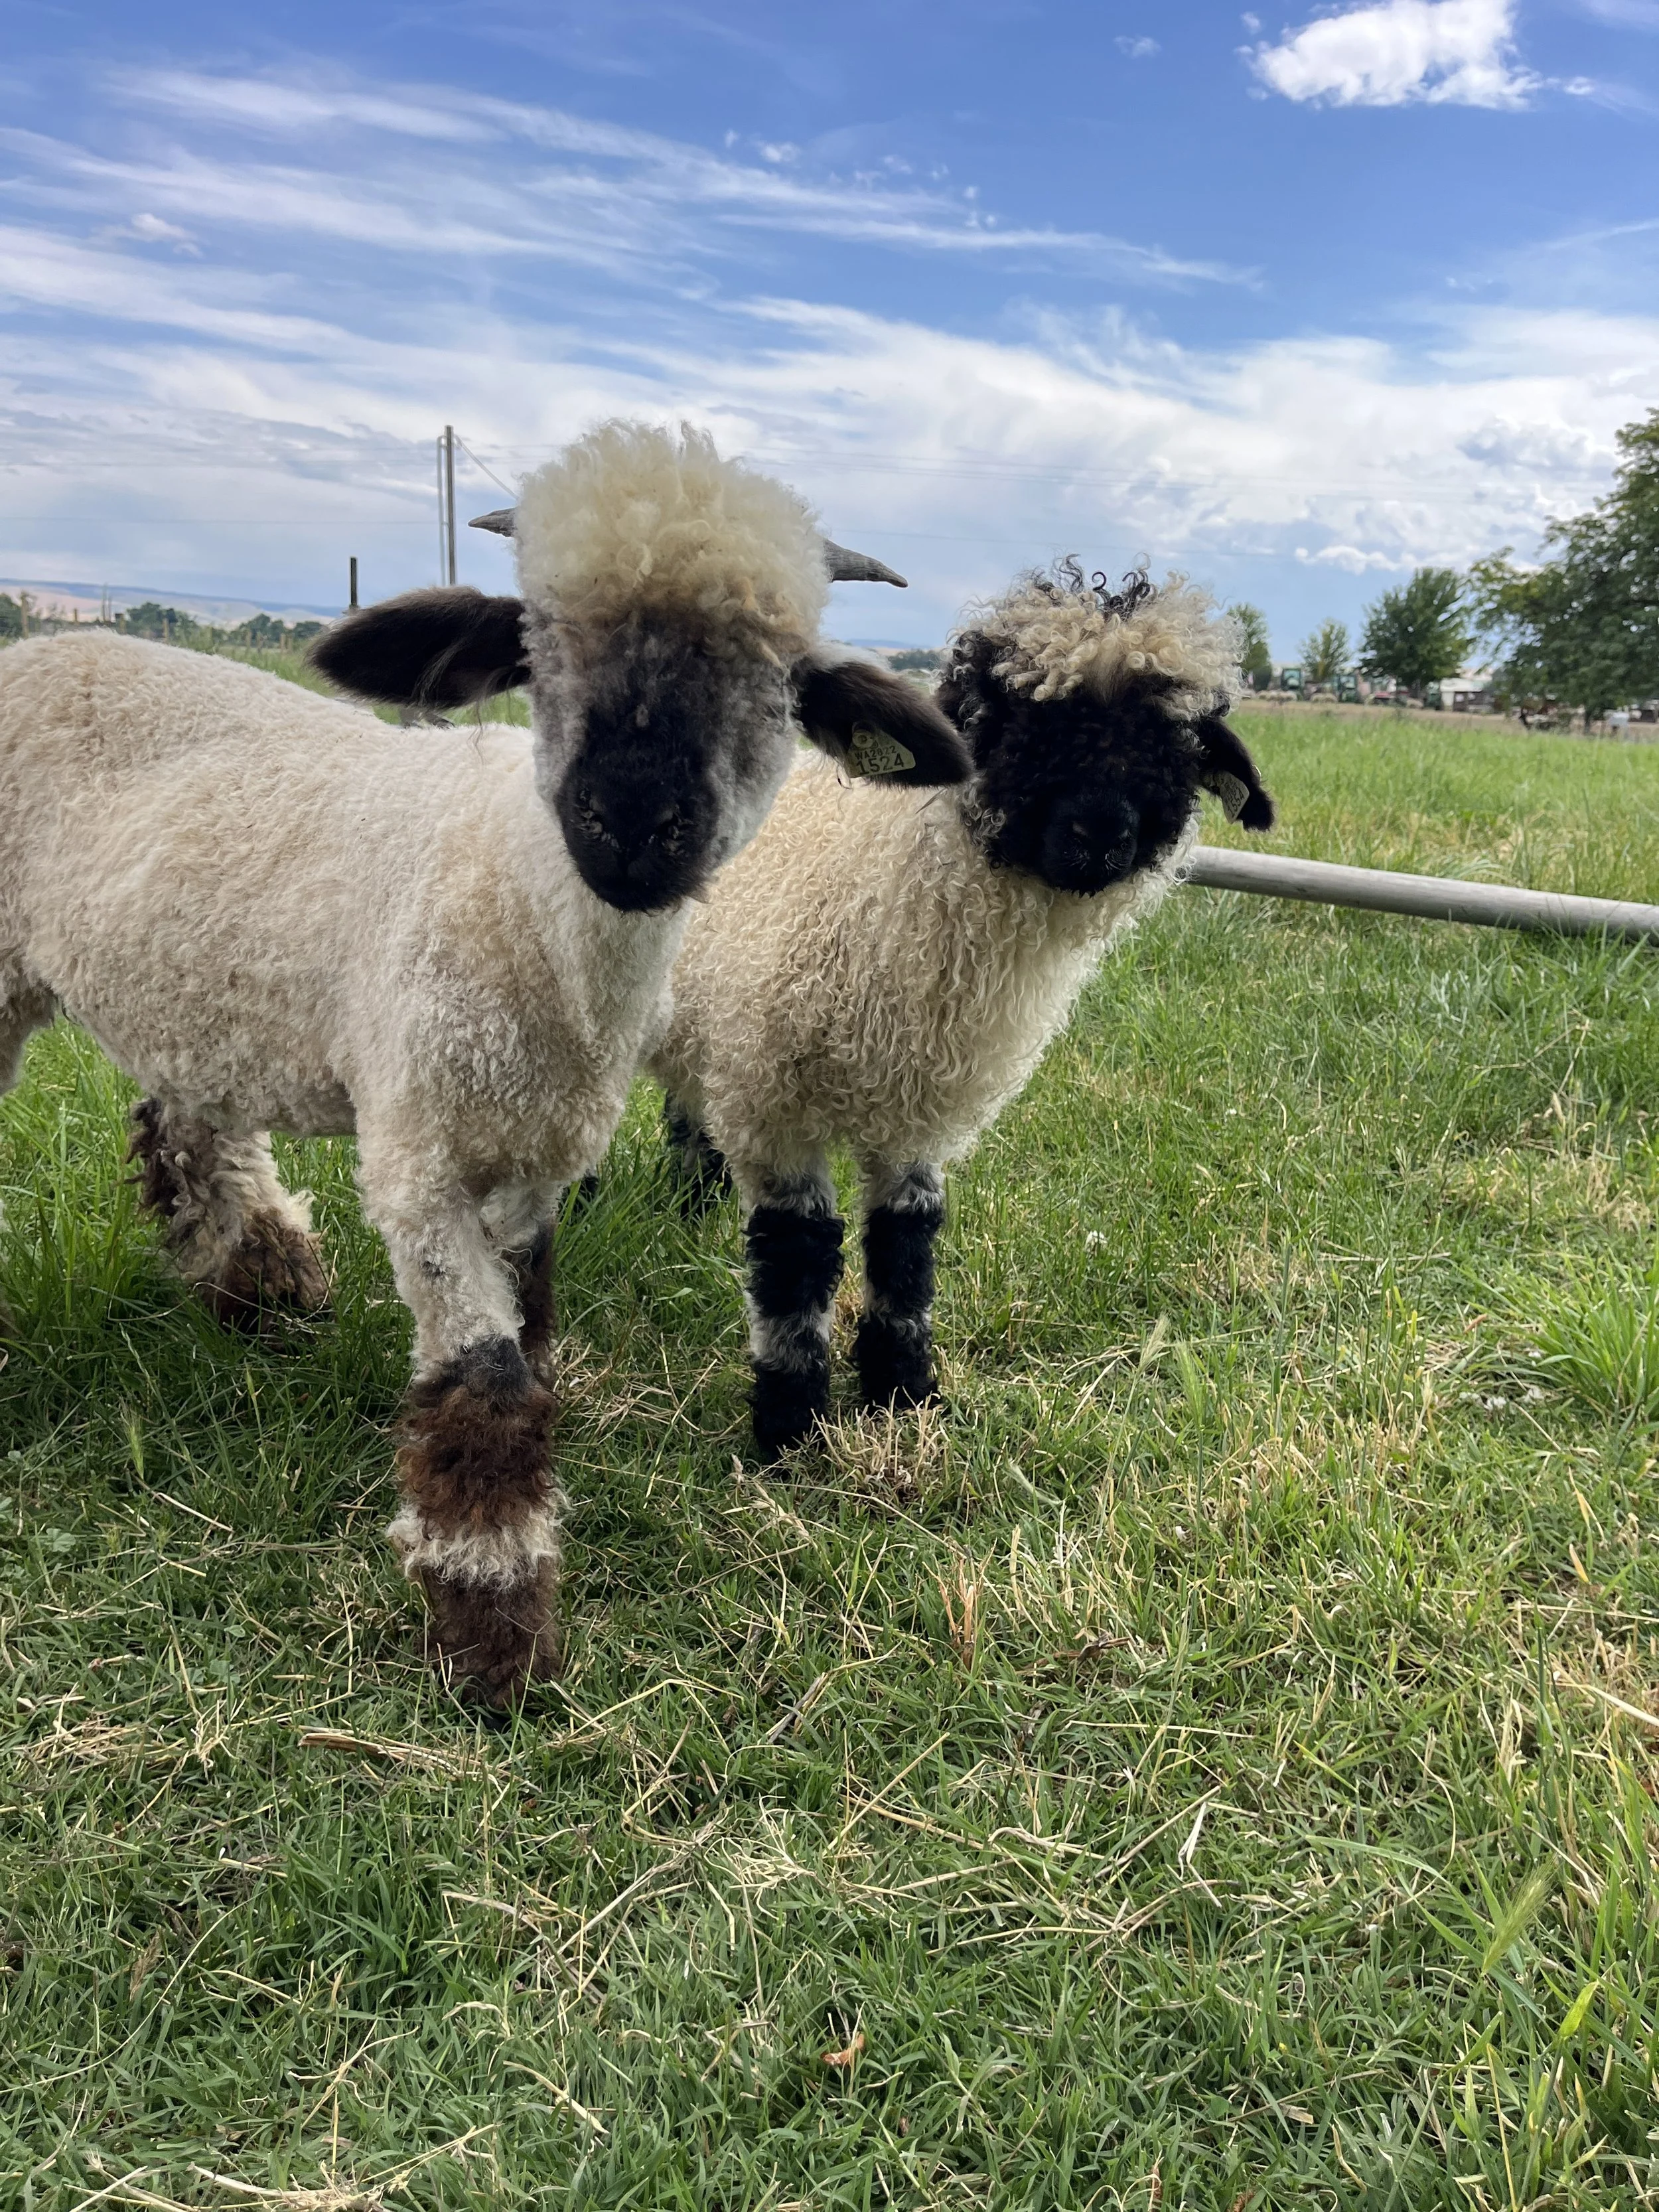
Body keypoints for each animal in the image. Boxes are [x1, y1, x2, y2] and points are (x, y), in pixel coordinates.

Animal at [0, 419, 970, 1698]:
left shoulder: (534, 1157)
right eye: (538, 648)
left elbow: (536, 1337)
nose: (630, 818)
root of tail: (43, 646)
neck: (522, 906)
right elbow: (489, 1377)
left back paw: (265, 1287)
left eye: (778, 681)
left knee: (188, 1120)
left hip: (194, 987)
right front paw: (495, 1634)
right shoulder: (423, 1154)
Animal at [646, 562, 1276, 1458]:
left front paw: (904, 1397)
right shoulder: (774, 1107)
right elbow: (795, 1262)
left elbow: (906, 1248)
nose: (1099, 832)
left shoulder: (917, 1112)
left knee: (686, 1106)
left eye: (1173, 743)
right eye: (1014, 720)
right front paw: (790, 1433)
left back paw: (690, 1204)